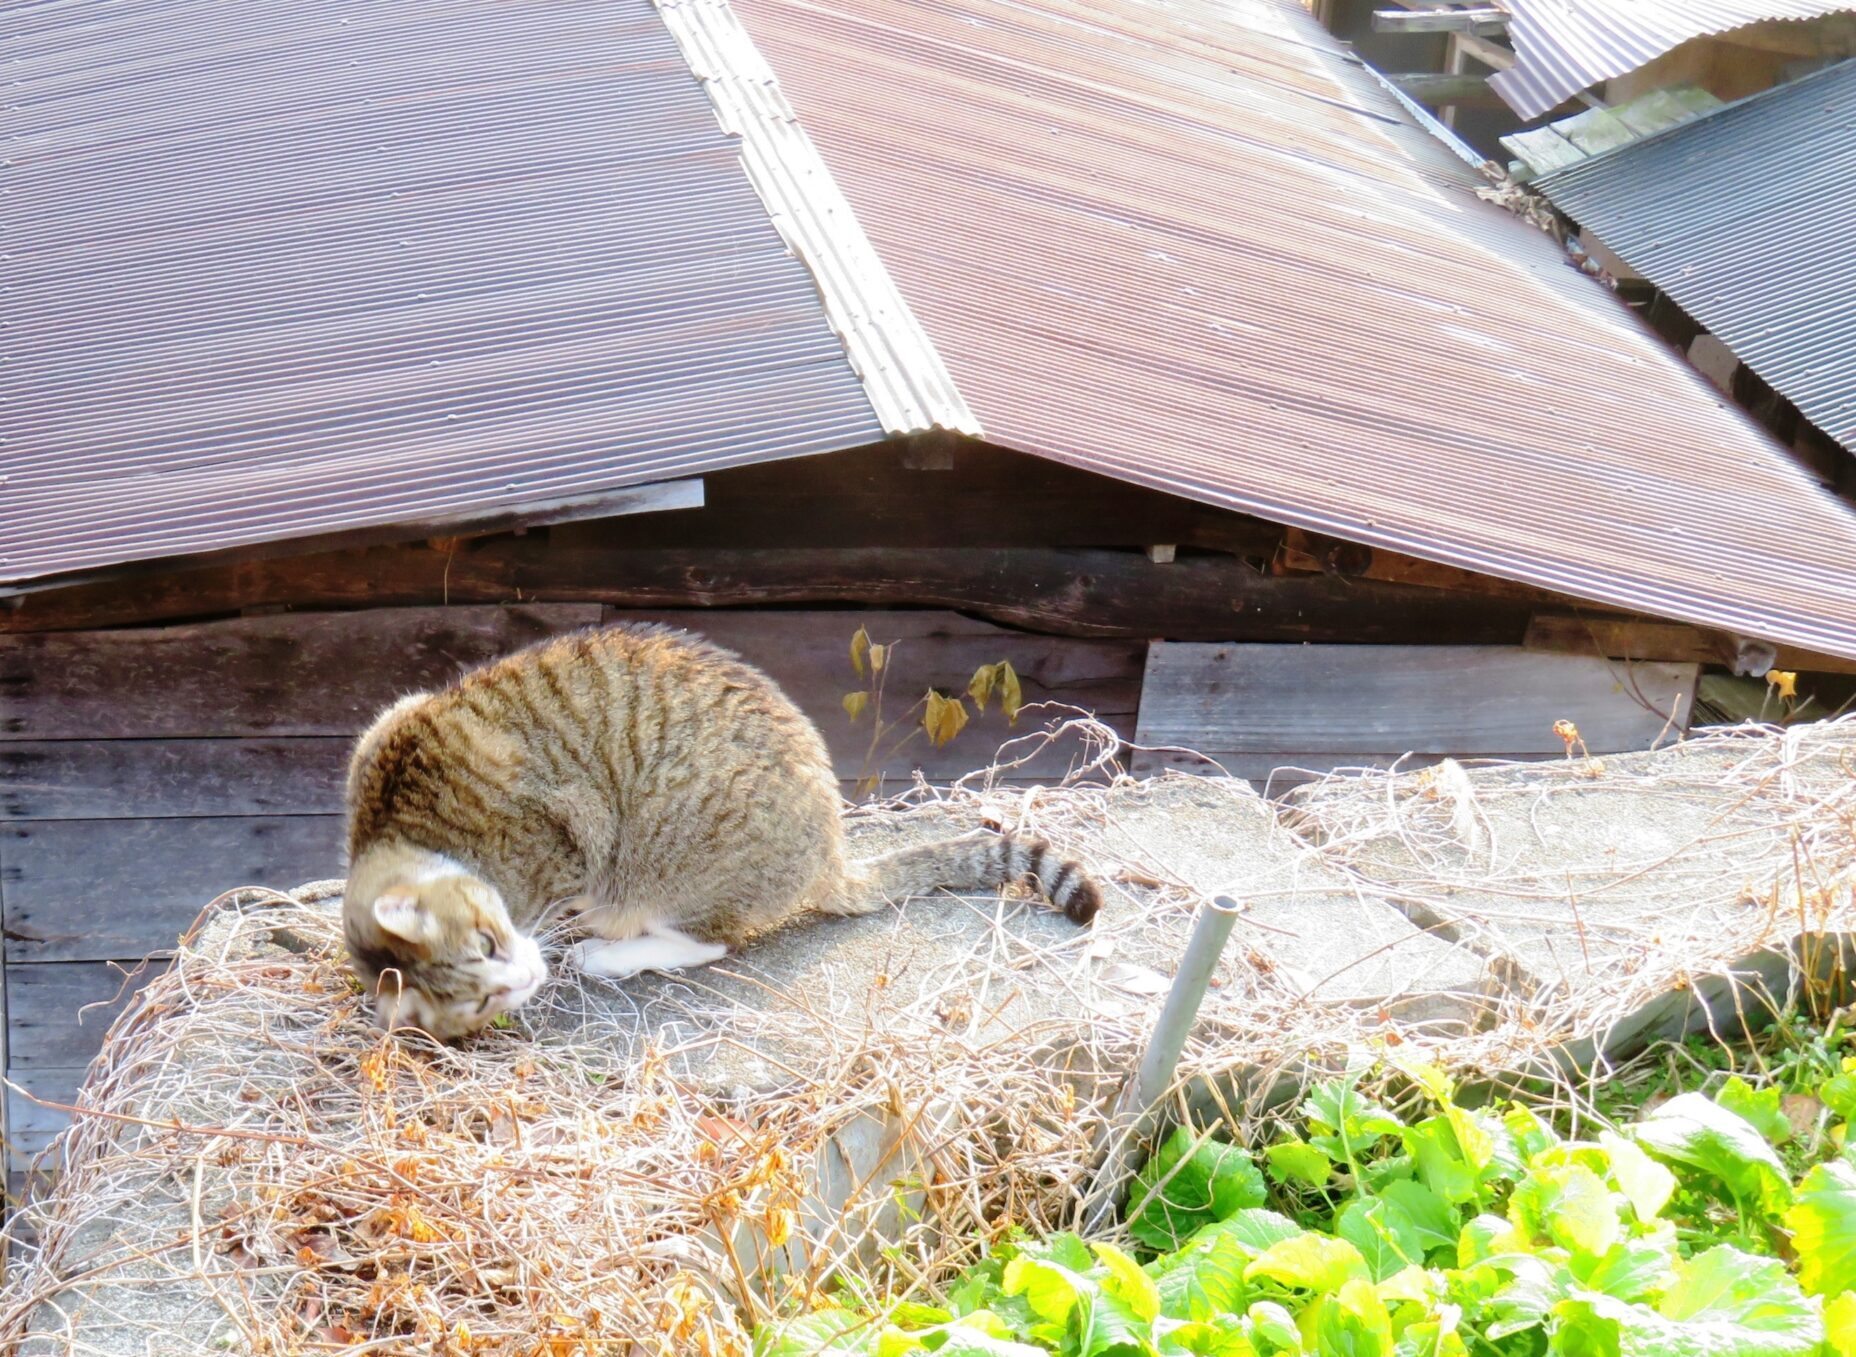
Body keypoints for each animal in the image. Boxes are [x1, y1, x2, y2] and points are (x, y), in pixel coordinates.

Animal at [341, 627, 1098, 1039]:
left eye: (489, 943)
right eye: (485, 998)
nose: (526, 975)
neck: (396, 823)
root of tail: (831, 848)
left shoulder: (568, 844)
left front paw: (566, 941)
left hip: (670, 866)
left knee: (709, 941)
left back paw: (608, 952)